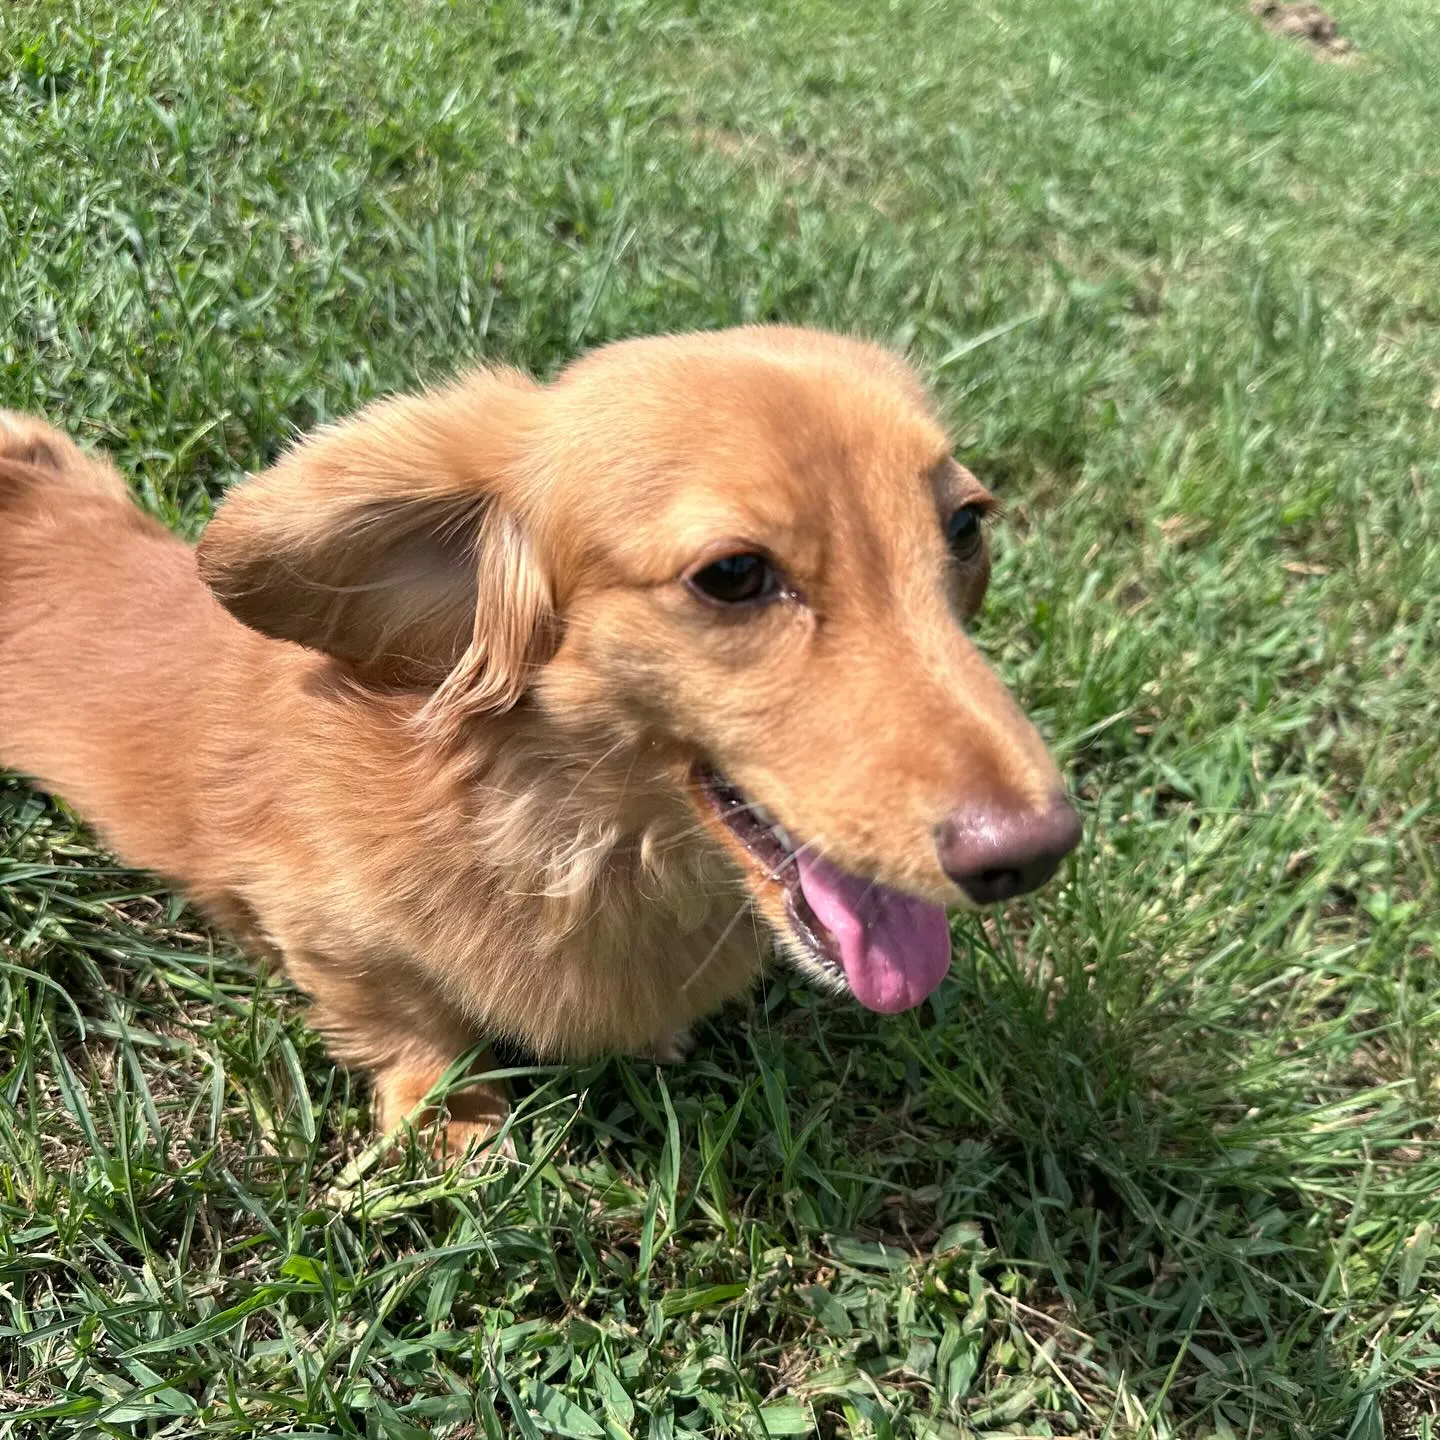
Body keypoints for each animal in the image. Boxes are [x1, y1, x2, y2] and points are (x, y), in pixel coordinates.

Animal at [0, 326, 1082, 1146]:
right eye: (733, 574)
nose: (1035, 853)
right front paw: (454, 1123)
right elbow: (411, 1024)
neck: (547, 832)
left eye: (966, 527)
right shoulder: (321, 932)